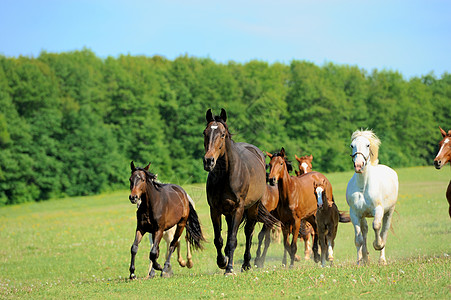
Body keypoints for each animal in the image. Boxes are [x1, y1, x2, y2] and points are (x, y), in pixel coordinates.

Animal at [346, 129, 400, 264]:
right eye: (352, 145)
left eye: (367, 145)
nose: (359, 165)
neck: (363, 186)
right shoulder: (355, 214)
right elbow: (358, 239)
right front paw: (361, 260)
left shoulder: (378, 210)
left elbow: (376, 226)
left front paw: (378, 245)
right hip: (363, 216)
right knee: (364, 231)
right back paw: (364, 259)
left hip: (389, 212)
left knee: (384, 230)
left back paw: (382, 260)